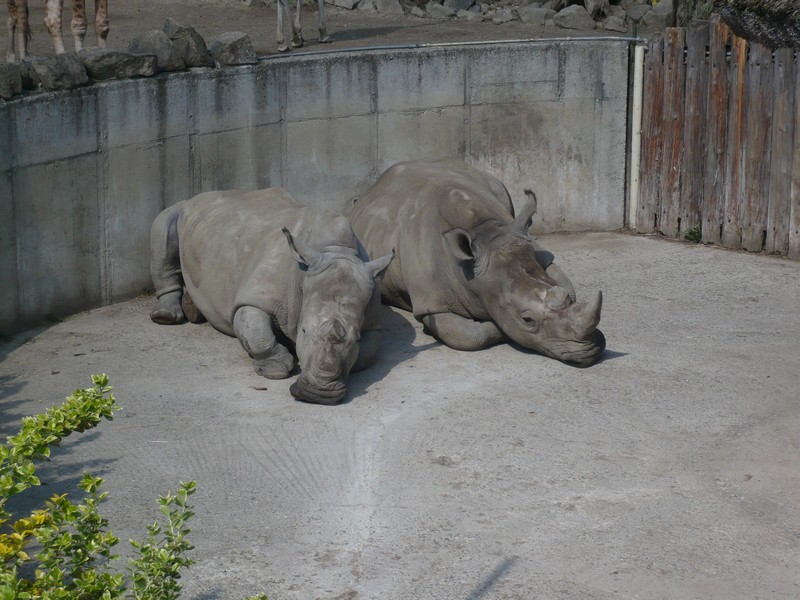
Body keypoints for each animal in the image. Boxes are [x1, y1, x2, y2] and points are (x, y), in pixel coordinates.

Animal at [149, 189, 394, 404]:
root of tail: (199, 197)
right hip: (181, 210)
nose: (318, 396)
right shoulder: (258, 294)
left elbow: (366, 354)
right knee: (162, 226)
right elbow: (255, 330)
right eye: (304, 331)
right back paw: (165, 317)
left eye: (357, 339)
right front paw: (276, 370)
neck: (336, 251)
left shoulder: (374, 319)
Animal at [350, 157, 608, 366]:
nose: (592, 351)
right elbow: (468, 337)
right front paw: (497, 328)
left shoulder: (528, 244)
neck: (485, 232)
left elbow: (565, 285)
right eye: (526, 320)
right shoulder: (432, 303)